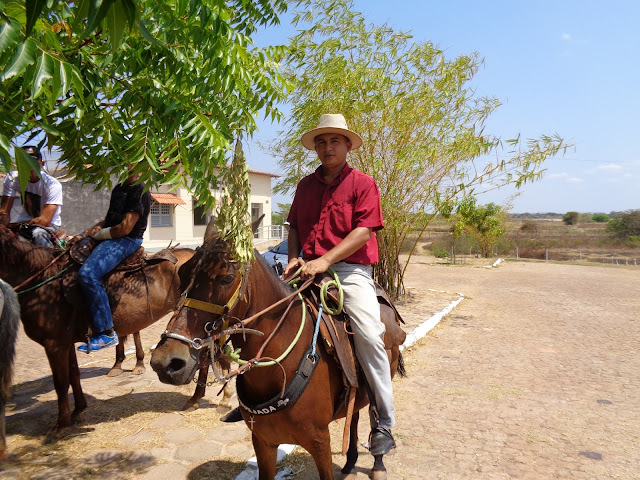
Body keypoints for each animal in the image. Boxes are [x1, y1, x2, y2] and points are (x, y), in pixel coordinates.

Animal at [0, 225, 196, 432]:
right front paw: (78, 410)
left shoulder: (54, 345)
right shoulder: (65, 343)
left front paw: (61, 425)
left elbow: (60, 383)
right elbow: (74, 375)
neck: (45, 284)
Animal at [150, 227, 404, 478]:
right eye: (182, 275)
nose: (166, 362)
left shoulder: (320, 443)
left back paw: (378, 459)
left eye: (226, 278)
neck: (280, 371)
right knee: (354, 416)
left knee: (374, 412)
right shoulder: (263, 442)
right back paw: (350, 462)